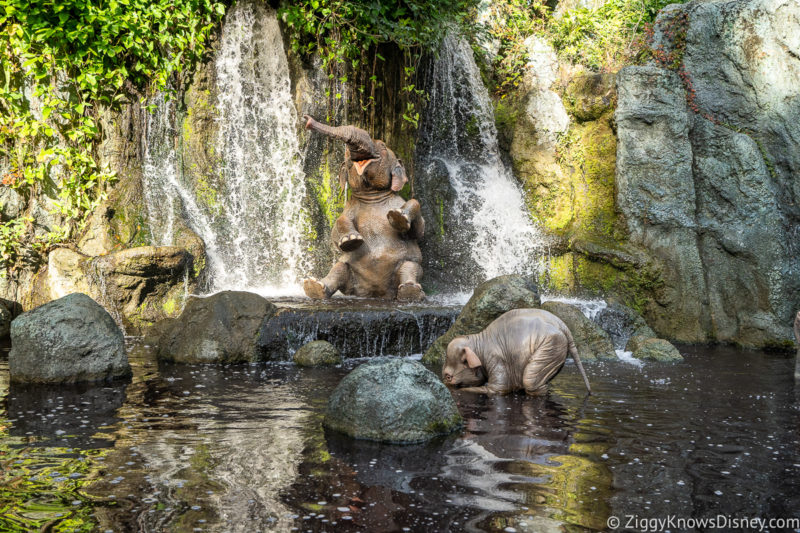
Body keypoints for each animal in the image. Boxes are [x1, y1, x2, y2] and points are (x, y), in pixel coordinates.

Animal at [300, 115, 424, 302]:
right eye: (346, 155)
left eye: (382, 146)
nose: (307, 120)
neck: (372, 195)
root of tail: (375, 293)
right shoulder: (350, 207)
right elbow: (336, 230)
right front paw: (350, 240)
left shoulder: (398, 201)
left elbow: (418, 229)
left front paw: (398, 217)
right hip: (348, 271)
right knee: (338, 269)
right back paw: (315, 288)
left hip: (410, 264)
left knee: (410, 267)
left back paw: (411, 292)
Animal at [440, 308, 592, 394]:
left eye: (448, 377)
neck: (477, 341)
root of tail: (563, 325)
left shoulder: (495, 359)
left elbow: (498, 390)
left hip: (551, 345)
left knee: (531, 381)